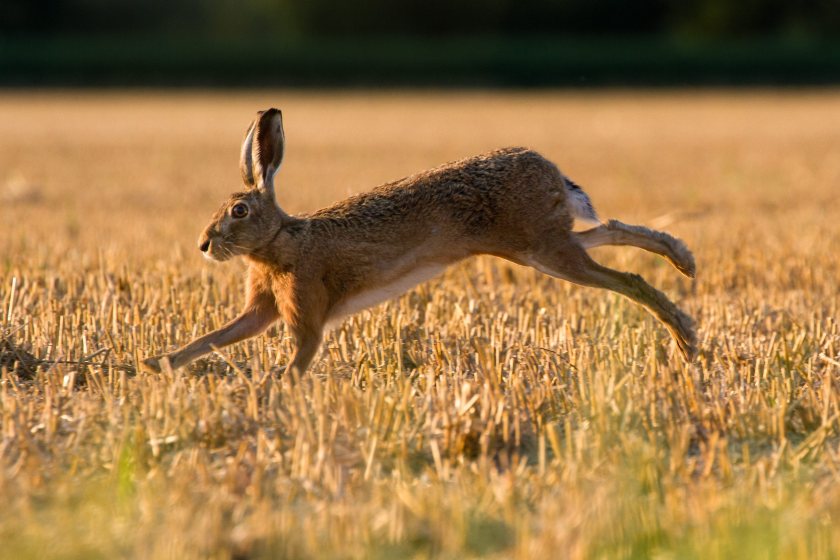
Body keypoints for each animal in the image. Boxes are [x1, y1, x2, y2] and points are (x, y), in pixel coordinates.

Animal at [144, 108, 696, 376]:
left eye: (238, 211)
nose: (203, 244)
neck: (282, 238)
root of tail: (551, 170)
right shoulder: (263, 311)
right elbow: (217, 336)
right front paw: (156, 364)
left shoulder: (306, 315)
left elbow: (298, 358)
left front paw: (271, 395)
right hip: (539, 245)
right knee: (608, 231)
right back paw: (684, 260)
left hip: (543, 249)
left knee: (626, 278)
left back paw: (685, 335)